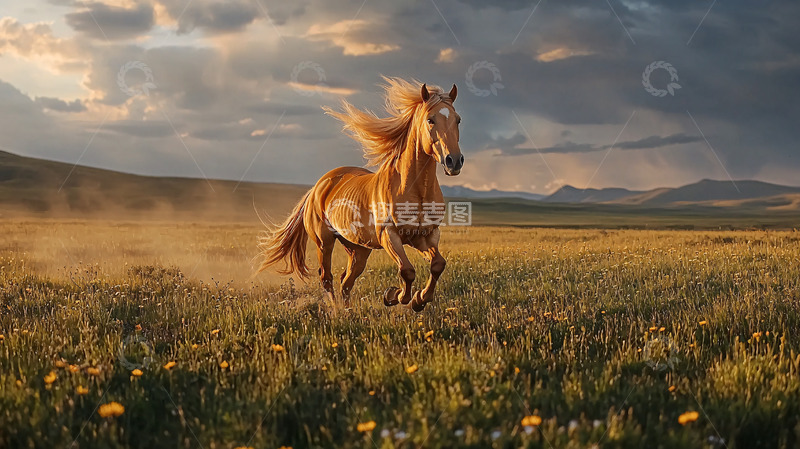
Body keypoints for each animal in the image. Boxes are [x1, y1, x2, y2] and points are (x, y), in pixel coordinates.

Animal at [258, 77, 464, 312]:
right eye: (430, 120)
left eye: (458, 120)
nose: (454, 161)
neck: (416, 191)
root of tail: (319, 186)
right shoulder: (389, 235)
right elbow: (407, 270)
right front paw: (395, 295)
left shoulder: (427, 235)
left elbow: (438, 264)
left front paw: (419, 299)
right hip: (324, 242)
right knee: (327, 277)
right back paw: (337, 310)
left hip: (358, 248)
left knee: (346, 280)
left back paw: (348, 310)